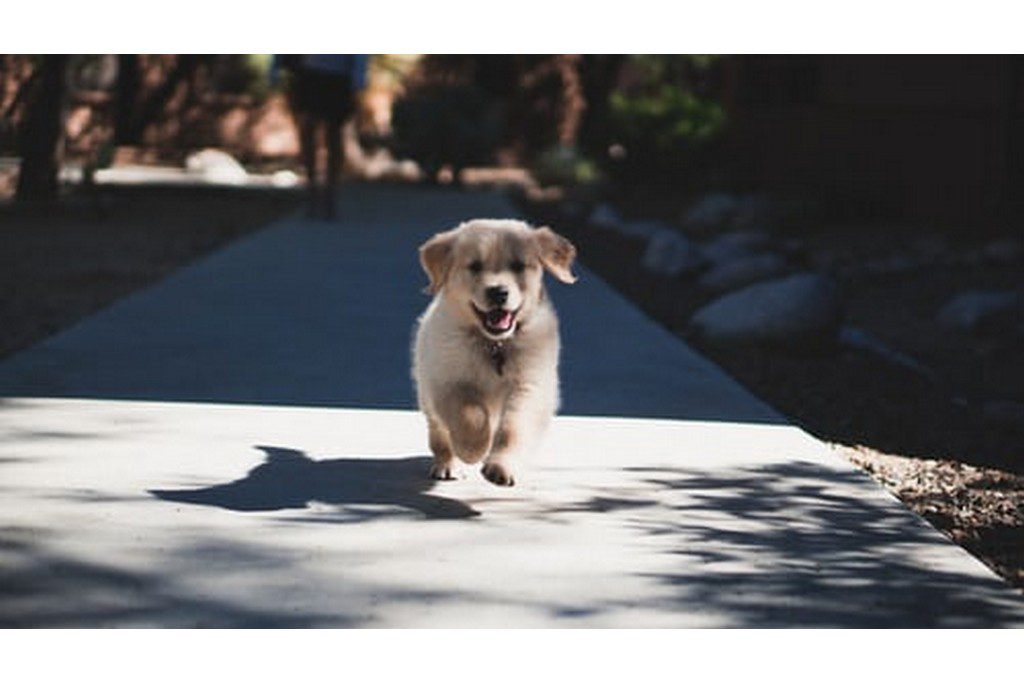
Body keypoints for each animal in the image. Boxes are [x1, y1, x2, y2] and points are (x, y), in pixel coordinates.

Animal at [413, 220, 577, 485]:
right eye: (475, 266)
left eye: (518, 266)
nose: (498, 292)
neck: (494, 343)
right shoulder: (447, 380)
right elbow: (470, 415)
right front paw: (473, 449)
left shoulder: (530, 384)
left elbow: (514, 428)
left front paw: (502, 466)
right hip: (426, 394)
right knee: (439, 435)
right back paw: (448, 464)